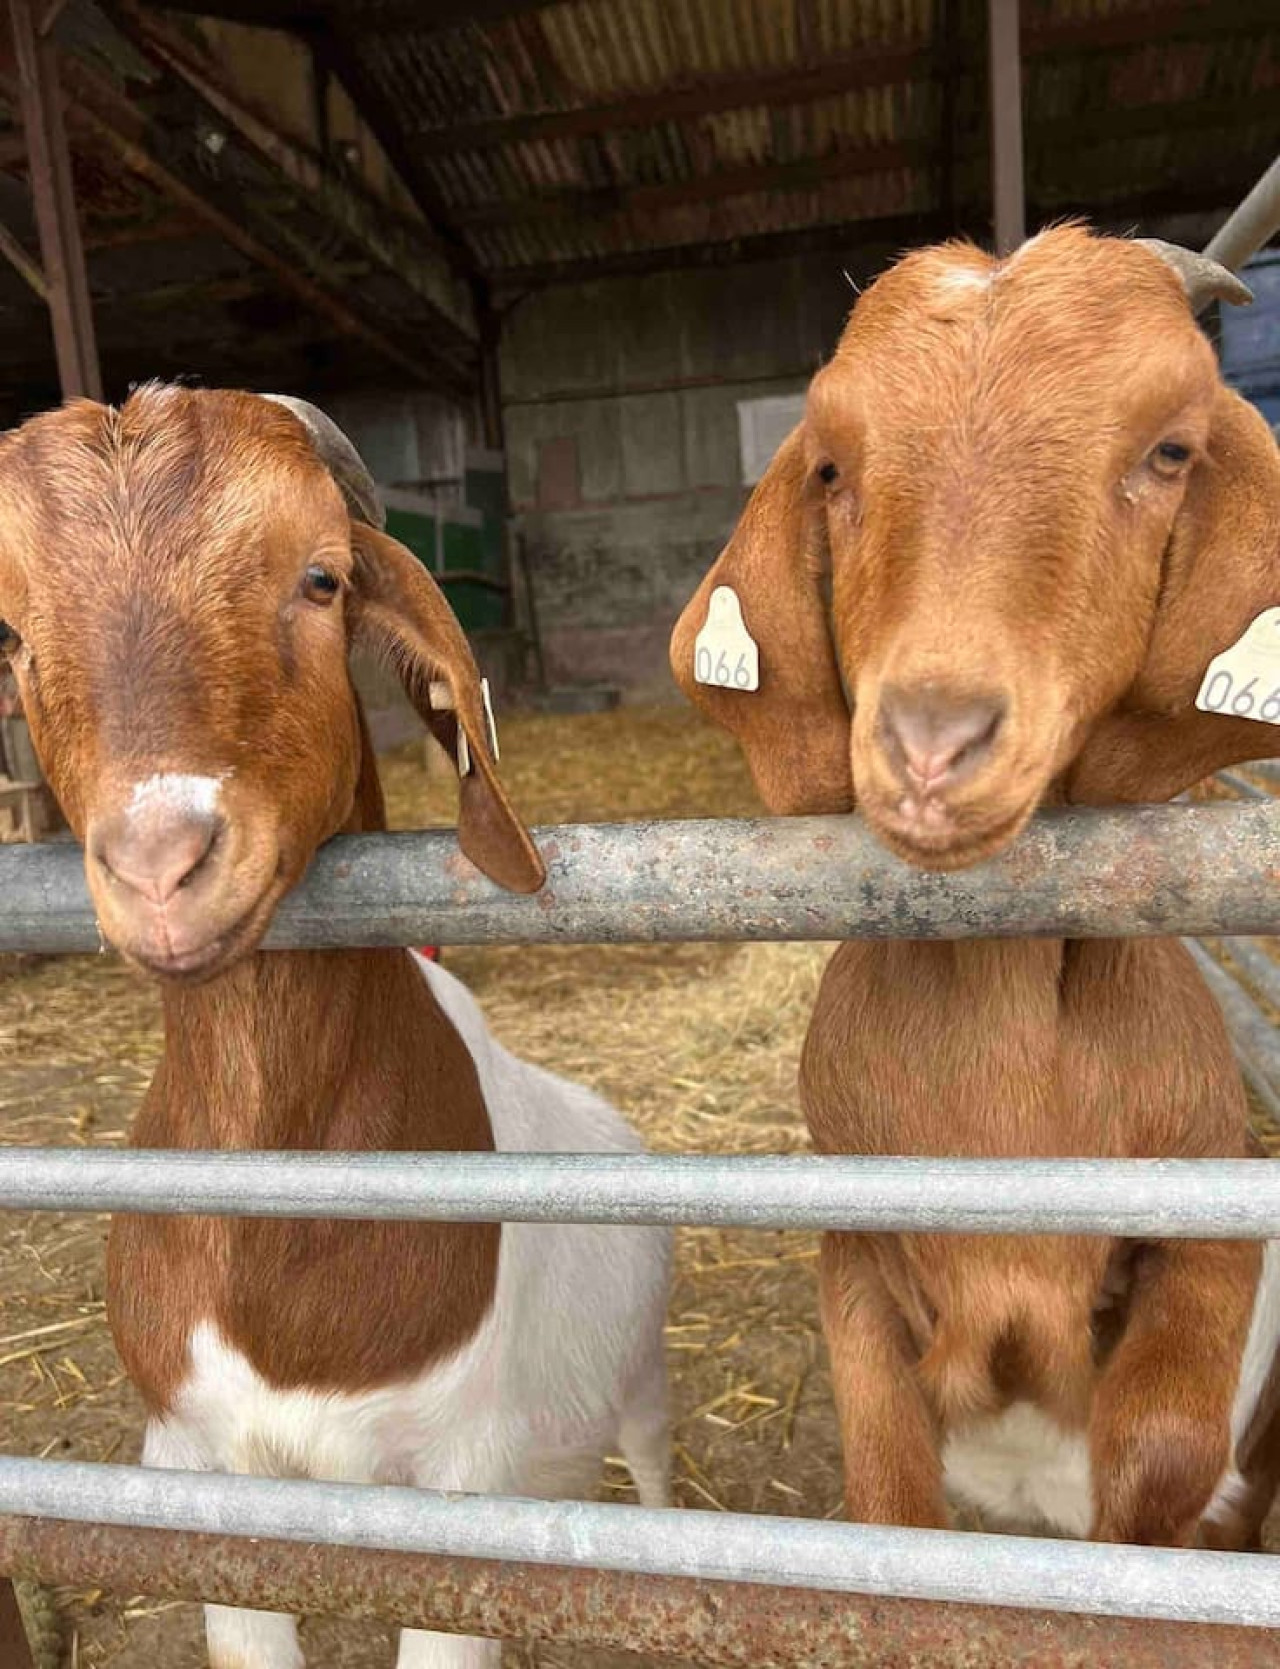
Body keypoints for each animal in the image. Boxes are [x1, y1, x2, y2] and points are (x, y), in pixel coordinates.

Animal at [0, 385, 672, 1669]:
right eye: (10, 636)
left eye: (321, 578)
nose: (162, 867)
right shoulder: (199, 1476)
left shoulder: (460, 1487)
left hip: (642, 1371)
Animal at [671, 225, 1280, 1548]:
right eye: (831, 467)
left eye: (1168, 450)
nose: (931, 740)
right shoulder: (853, 1243)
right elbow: (887, 1480)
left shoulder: (1211, 1215)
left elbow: (1162, 1452)